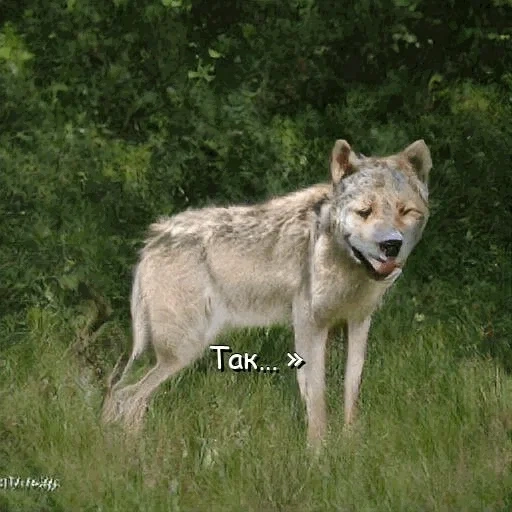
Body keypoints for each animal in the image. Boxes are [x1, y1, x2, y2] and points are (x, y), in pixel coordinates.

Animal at [103, 138, 432, 446]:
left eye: (405, 212)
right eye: (365, 212)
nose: (391, 245)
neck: (345, 265)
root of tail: (151, 242)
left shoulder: (359, 322)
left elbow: (351, 390)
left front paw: (351, 446)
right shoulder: (310, 326)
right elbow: (317, 398)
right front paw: (319, 454)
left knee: (121, 394)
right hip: (182, 350)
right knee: (126, 396)